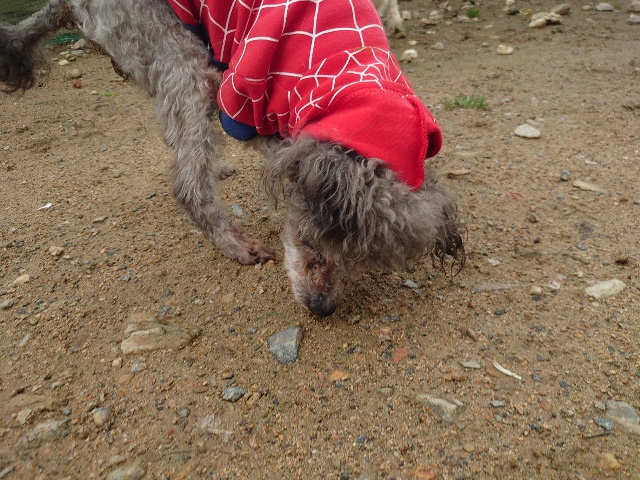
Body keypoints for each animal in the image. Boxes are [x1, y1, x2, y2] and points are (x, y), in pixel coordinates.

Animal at [0, 0, 464, 317]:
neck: (345, 85)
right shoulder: (248, 97)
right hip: (184, 58)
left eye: (360, 259)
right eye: (310, 244)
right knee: (188, 181)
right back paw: (235, 244)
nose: (321, 309)